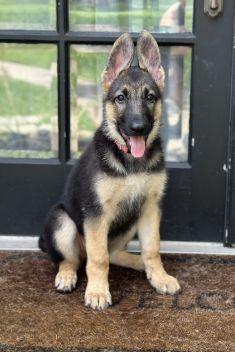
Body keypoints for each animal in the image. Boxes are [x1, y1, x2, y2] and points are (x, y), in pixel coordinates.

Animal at [39, 31, 181, 310]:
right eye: (121, 98)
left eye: (150, 97)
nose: (138, 128)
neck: (130, 161)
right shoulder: (96, 214)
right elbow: (99, 258)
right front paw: (97, 292)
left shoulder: (150, 207)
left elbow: (152, 249)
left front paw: (159, 276)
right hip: (62, 221)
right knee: (73, 259)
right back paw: (67, 275)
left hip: (130, 219)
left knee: (114, 253)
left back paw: (138, 263)